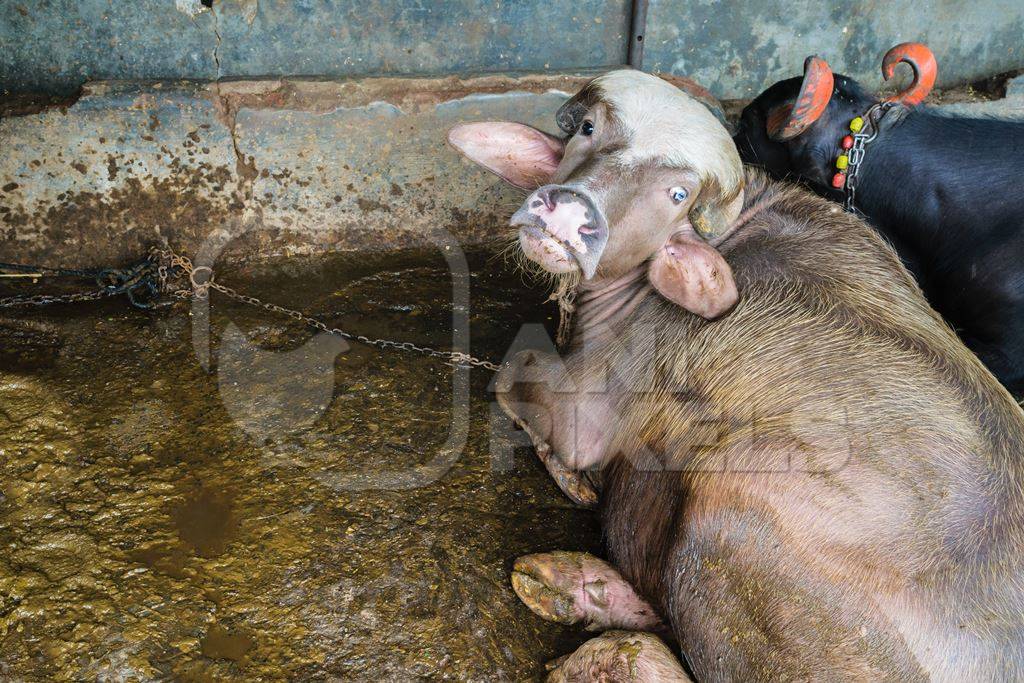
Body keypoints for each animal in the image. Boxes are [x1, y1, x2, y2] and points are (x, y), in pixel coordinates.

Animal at [452, 69, 1024, 679]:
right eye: (586, 129)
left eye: (678, 195)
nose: (567, 212)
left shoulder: (588, 408)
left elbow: (513, 371)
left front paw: (571, 476)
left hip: (726, 512)